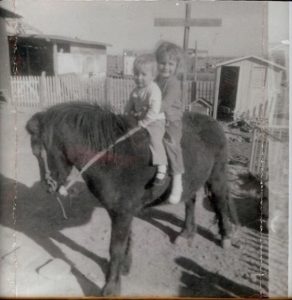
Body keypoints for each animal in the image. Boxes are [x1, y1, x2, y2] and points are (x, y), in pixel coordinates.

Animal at [26, 102, 234, 296]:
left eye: (39, 152)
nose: (47, 187)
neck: (114, 157)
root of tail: (212, 121)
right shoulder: (123, 212)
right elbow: (127, 240)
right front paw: (125, 267)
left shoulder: (122, 213)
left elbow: (115, 248)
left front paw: (111, 287)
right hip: (191, 179)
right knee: (190, 200)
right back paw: (187, 233)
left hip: (217, 175)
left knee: (221, 201)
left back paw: (225, 236)